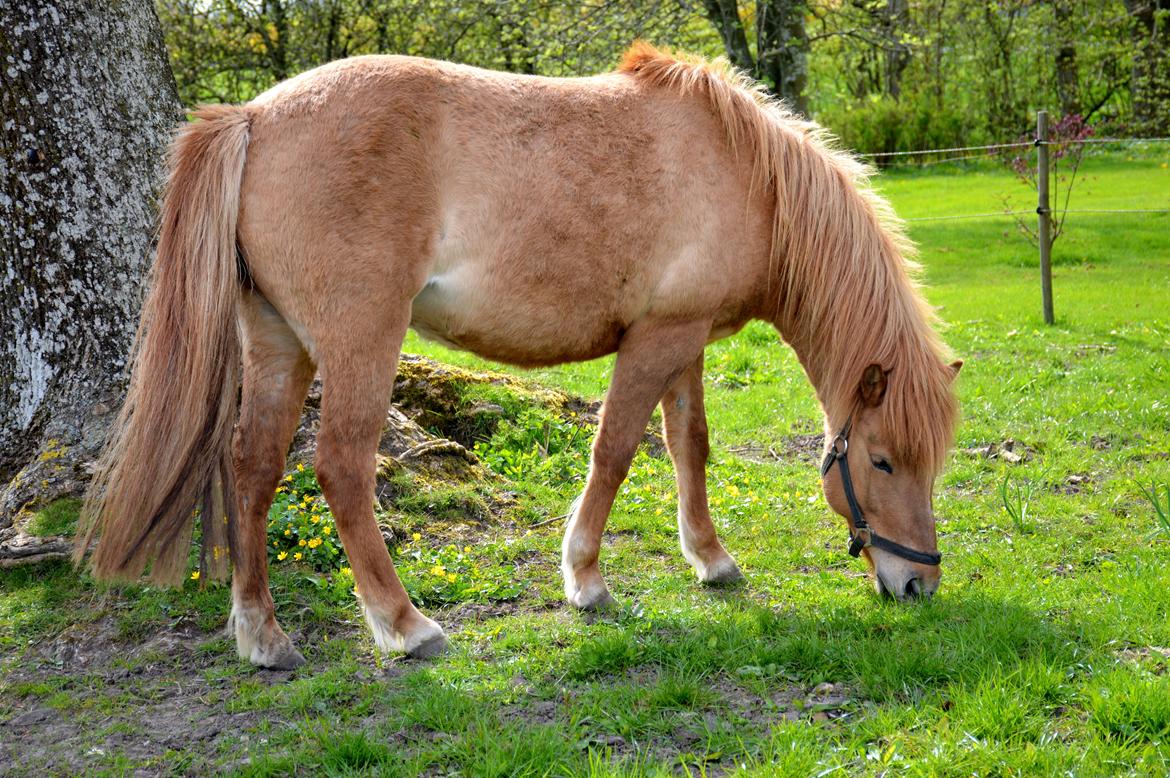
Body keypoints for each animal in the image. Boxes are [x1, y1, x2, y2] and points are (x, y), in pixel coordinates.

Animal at [75, 42, 959, 669]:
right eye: (882, 461)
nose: (919, 585)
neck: (742, 171)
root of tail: (253, 117)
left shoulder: (685, 341)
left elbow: (689, 446)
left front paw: (710, 560)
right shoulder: (656, 341)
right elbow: (615, 451)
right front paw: (587, 580)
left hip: (277, 343)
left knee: (253, 466)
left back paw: (262, 636)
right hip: (362, 341)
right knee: (341, 469)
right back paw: (405, 626)